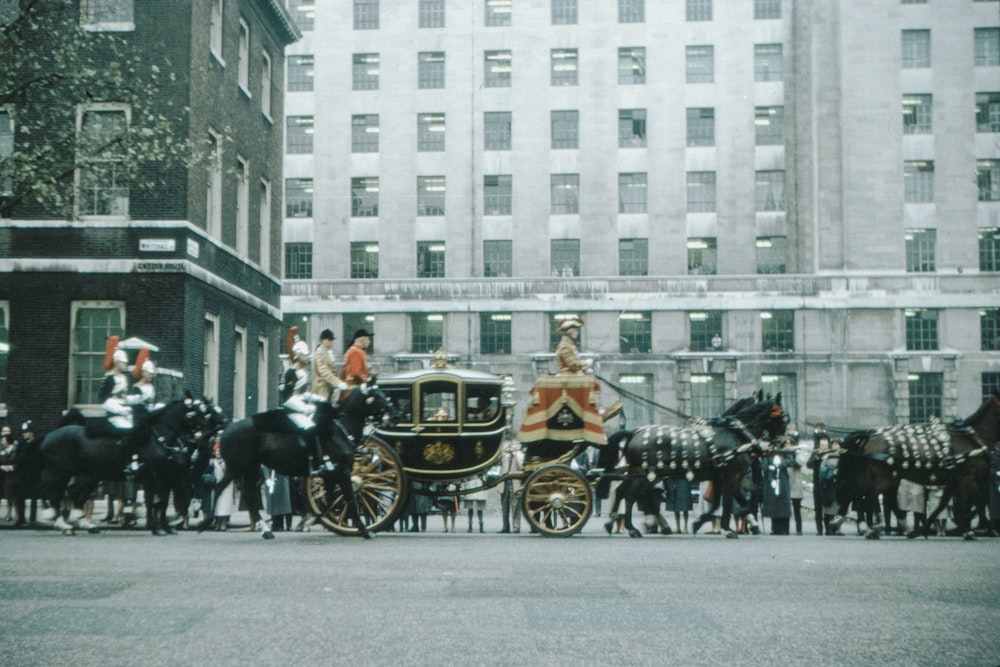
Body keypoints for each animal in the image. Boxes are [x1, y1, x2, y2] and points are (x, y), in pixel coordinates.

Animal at [36, 396, 214, 536]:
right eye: (193, 412)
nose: (208, 431)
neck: (158, 438)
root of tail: (49, 435)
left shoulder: (164, 478)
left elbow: (159, 502)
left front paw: (162, 526)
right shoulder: (156, 476)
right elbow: (157, 502)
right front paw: (157, 528)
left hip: (87, 475)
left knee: (73, 494)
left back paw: (81, 523)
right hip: (59, 472)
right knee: (54, 494)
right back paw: (61, 523)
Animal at [205, 378, 400, 540]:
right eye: (377, 394)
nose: (395, 414)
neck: (340, 429)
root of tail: (227, 428)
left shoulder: (331, 474)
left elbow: (329, 500)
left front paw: (320, 519)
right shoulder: (342, 472)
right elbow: (349, 499)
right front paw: (365, 531)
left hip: (246, 468)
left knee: (238, 492)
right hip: (241, 468)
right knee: (235, 491)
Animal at [596, 394, 784, 540]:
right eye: (782, 416)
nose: (784, 440)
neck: (734, 433)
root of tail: (634, 432)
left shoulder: (728, 477)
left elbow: (732, 503)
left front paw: (700, 522)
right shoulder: (730, 476)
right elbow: (728, 503)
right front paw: (725, 528)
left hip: (642, 474)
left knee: (622, 492)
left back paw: (613, 523)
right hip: (647, 474)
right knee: (629, 496)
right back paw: (632, 528)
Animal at [828, 392, 992, 544]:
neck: (970, 440)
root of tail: (870, 435)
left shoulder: (954, 481)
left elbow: (944, 504)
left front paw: (923, 529)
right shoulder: (967, 478)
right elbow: (978, 501)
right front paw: (970, 529)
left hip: (879, 477)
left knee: (861, 496)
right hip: (884, 478)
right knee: (865, 497)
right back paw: (868, 528)